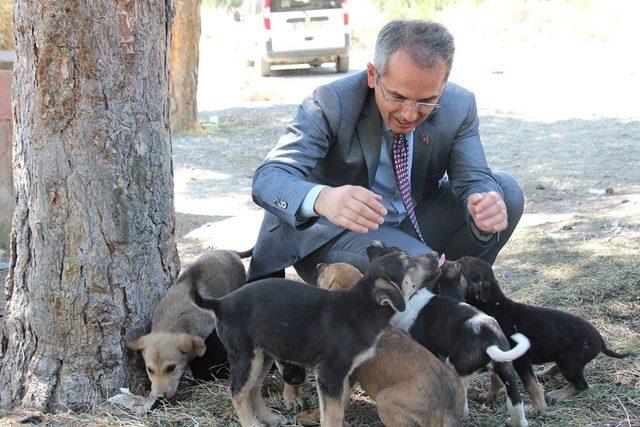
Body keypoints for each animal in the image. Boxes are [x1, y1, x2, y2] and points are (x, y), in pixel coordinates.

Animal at [190, 247, 440, 427]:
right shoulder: (330, 372)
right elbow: (333, 415)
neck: (363, 307)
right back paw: (252, 423)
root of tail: (220, 303)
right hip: (246, 355)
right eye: (409, 262)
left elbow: (335, 408)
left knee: (253, 387)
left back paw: (271, 418)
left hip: (263, 354)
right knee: (238, 392)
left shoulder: (338, 375)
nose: (436, 254)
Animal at [296, 264, 464, 427]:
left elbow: (327, 407)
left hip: (384, 400)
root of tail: (450, 412)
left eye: (325, 272)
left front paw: (309, 418)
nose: (318, 265)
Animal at [368, 244, 532, 427]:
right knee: (516, 403)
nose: (372, 244)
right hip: (507, 370)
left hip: (457, 367)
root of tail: (491, 340)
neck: (412, 296)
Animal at [438, 258, 632, 414]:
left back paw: (556, 394)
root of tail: (600, 341)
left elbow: (530, 385)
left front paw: (539, 408)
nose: (441, 259)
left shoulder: (520, 359)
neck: (493, 304)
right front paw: (489, 397)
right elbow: (497, 379)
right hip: (565, 359)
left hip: (569, 361)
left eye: (458, 266)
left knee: (581, 384)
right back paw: (545, 374)